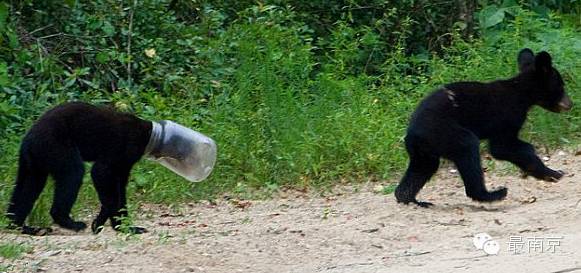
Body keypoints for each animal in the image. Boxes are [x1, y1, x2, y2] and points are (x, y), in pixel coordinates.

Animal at [6, 102, 152, 234]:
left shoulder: (125, 163)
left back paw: (23, 227)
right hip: (56, 145)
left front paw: (127, 227)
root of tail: (28, 138)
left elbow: (120, 188)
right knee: (72, 173)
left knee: (28, 185)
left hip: (34, 160)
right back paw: (72, 223)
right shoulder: (123, 146)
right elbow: (100, 172)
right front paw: (98, 223)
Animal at [394, 49, 572, 206]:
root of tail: (412, 133)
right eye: (561, 85)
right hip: (444, 132)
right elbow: (502, 147)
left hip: (424, 150)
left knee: (422, 167)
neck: (521, 93)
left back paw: (412, 200)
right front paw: (553, 173)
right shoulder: (508, 115)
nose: (570, 104)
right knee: (467, 148)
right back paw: (493, 194)